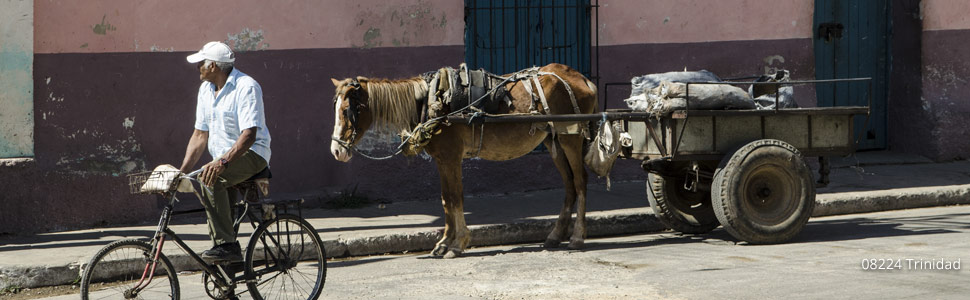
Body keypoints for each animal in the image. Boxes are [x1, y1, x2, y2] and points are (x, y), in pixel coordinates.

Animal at [328, 63, 592, 258]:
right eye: (336, 109)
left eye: (348, 110)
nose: (336, 151)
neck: (431, 102)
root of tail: (581, 79)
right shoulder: (442, 160)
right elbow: (446, 200)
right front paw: (444, 243)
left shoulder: (451, 157)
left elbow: (456, 198)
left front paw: (457, 244)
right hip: (553, 141)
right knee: (569, 185)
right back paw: (555, 236)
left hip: (571, 136)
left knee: (580, 183)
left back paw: (577, 237)